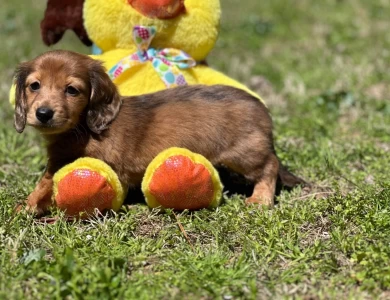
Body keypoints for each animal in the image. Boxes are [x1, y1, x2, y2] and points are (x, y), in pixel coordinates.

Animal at [12, 49, 304, 216]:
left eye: (72, 90)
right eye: (34, 85)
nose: (43, 114)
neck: (82, 125)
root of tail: (261, 107)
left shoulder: (66, 162)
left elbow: (45, 183)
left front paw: (27, 206)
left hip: (245, 153)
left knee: (269, 166)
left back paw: (261, 198)